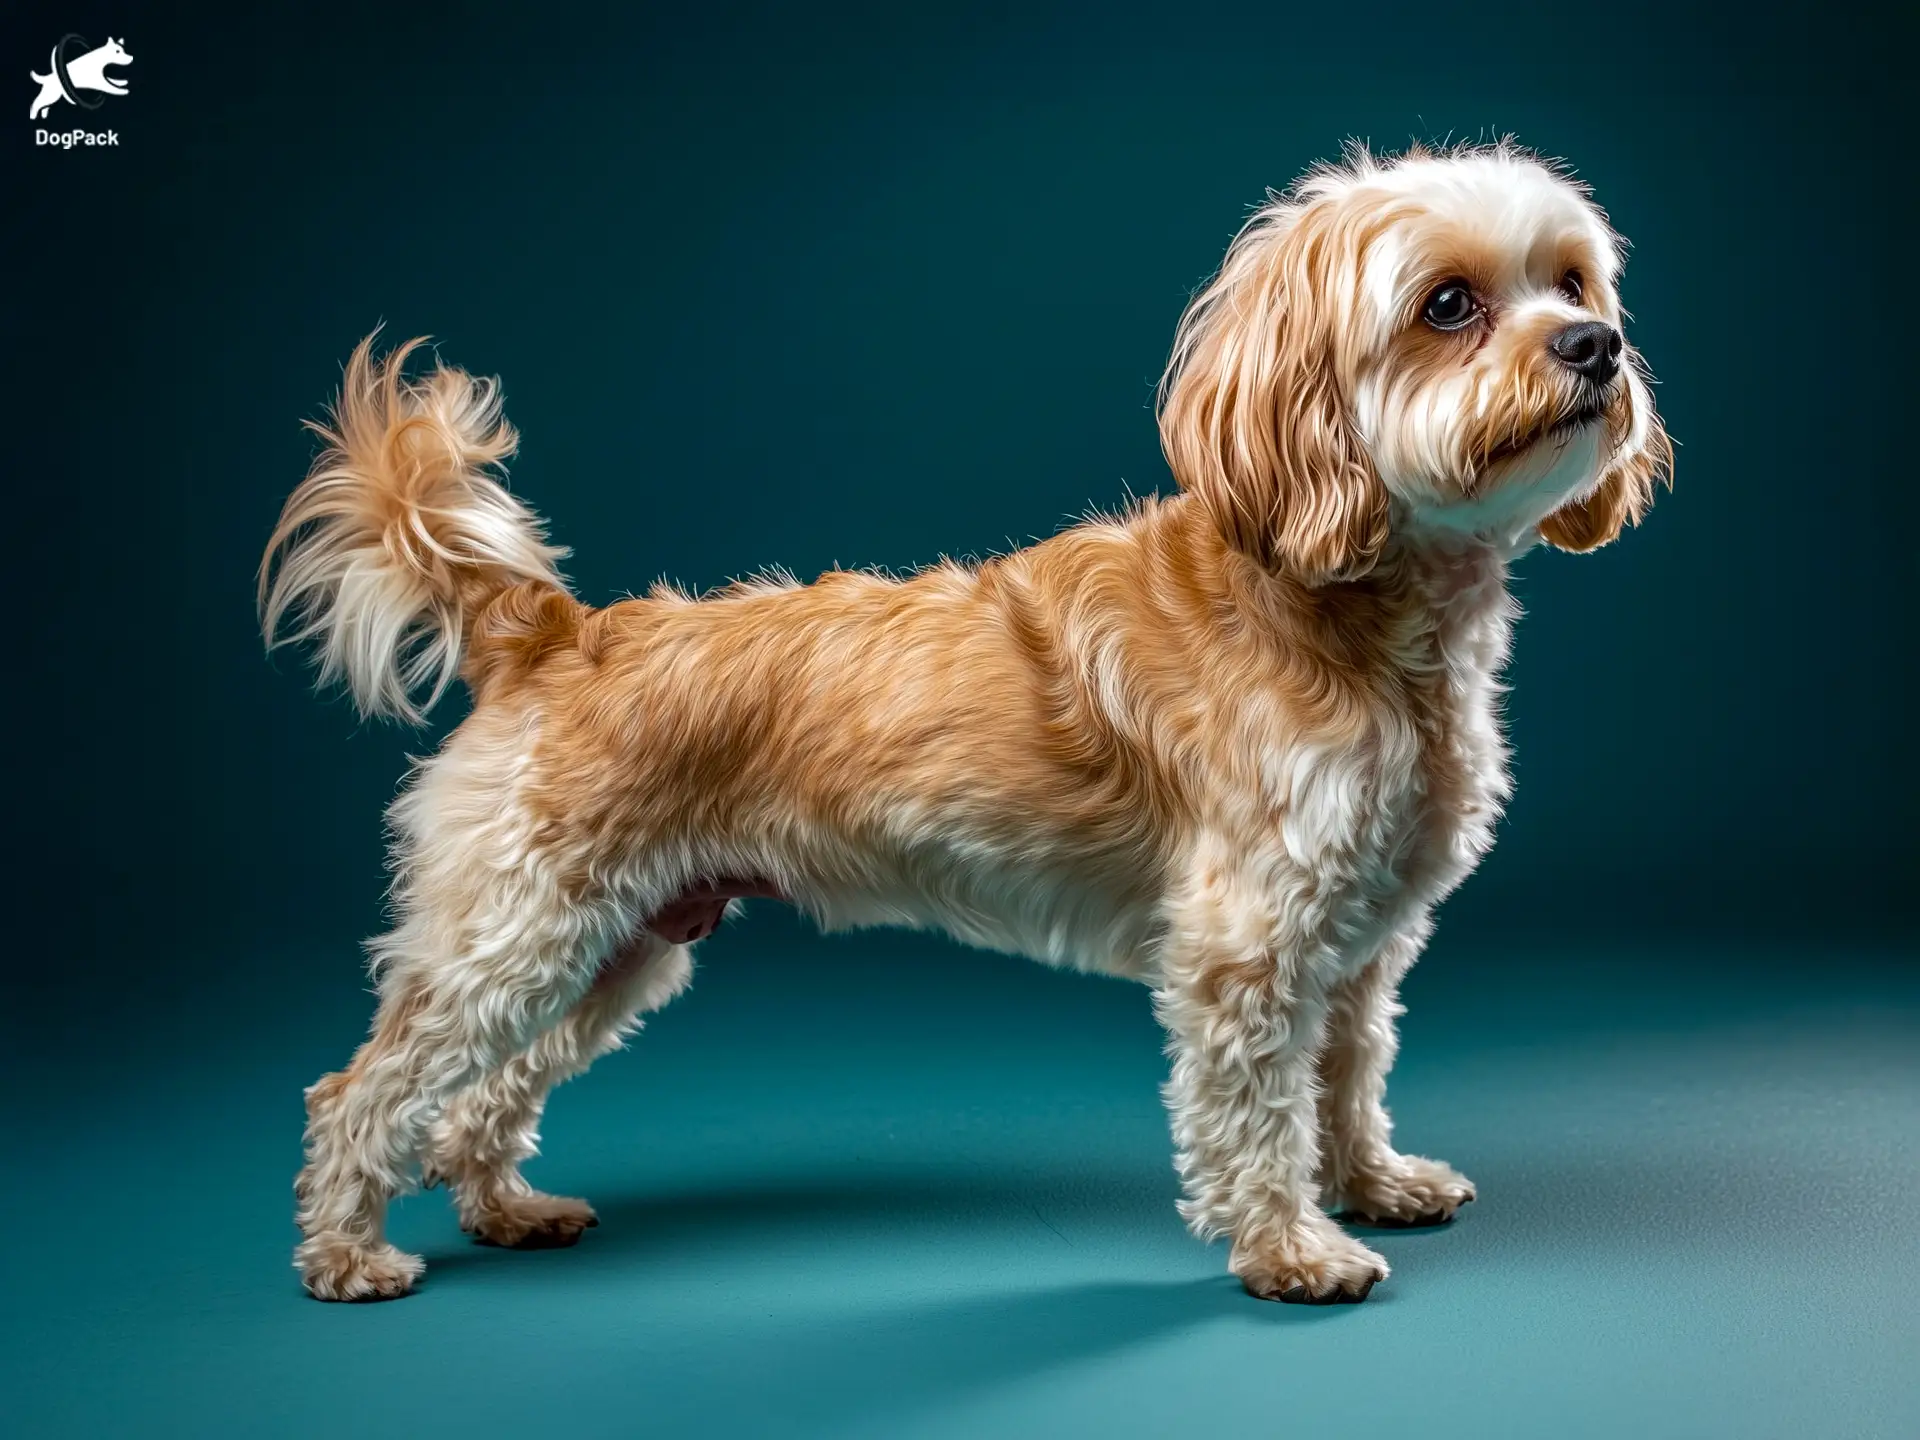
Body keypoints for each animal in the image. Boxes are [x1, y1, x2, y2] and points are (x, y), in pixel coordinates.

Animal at [255, 144, 1666, 1305]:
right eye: (1449, 306)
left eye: (1573, 280)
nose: (1596, 345)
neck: (1343, 597)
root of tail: (551, 631)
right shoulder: (1250, 948)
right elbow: (1260, 1112)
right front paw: (1292, 1250)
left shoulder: (1361, 942)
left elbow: (1352, 1073)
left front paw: (1372, 1183)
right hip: (521, 930)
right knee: (358, 1091)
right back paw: (347, 1255)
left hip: (621, 942)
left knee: (481, 1098)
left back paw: (505, 1208)